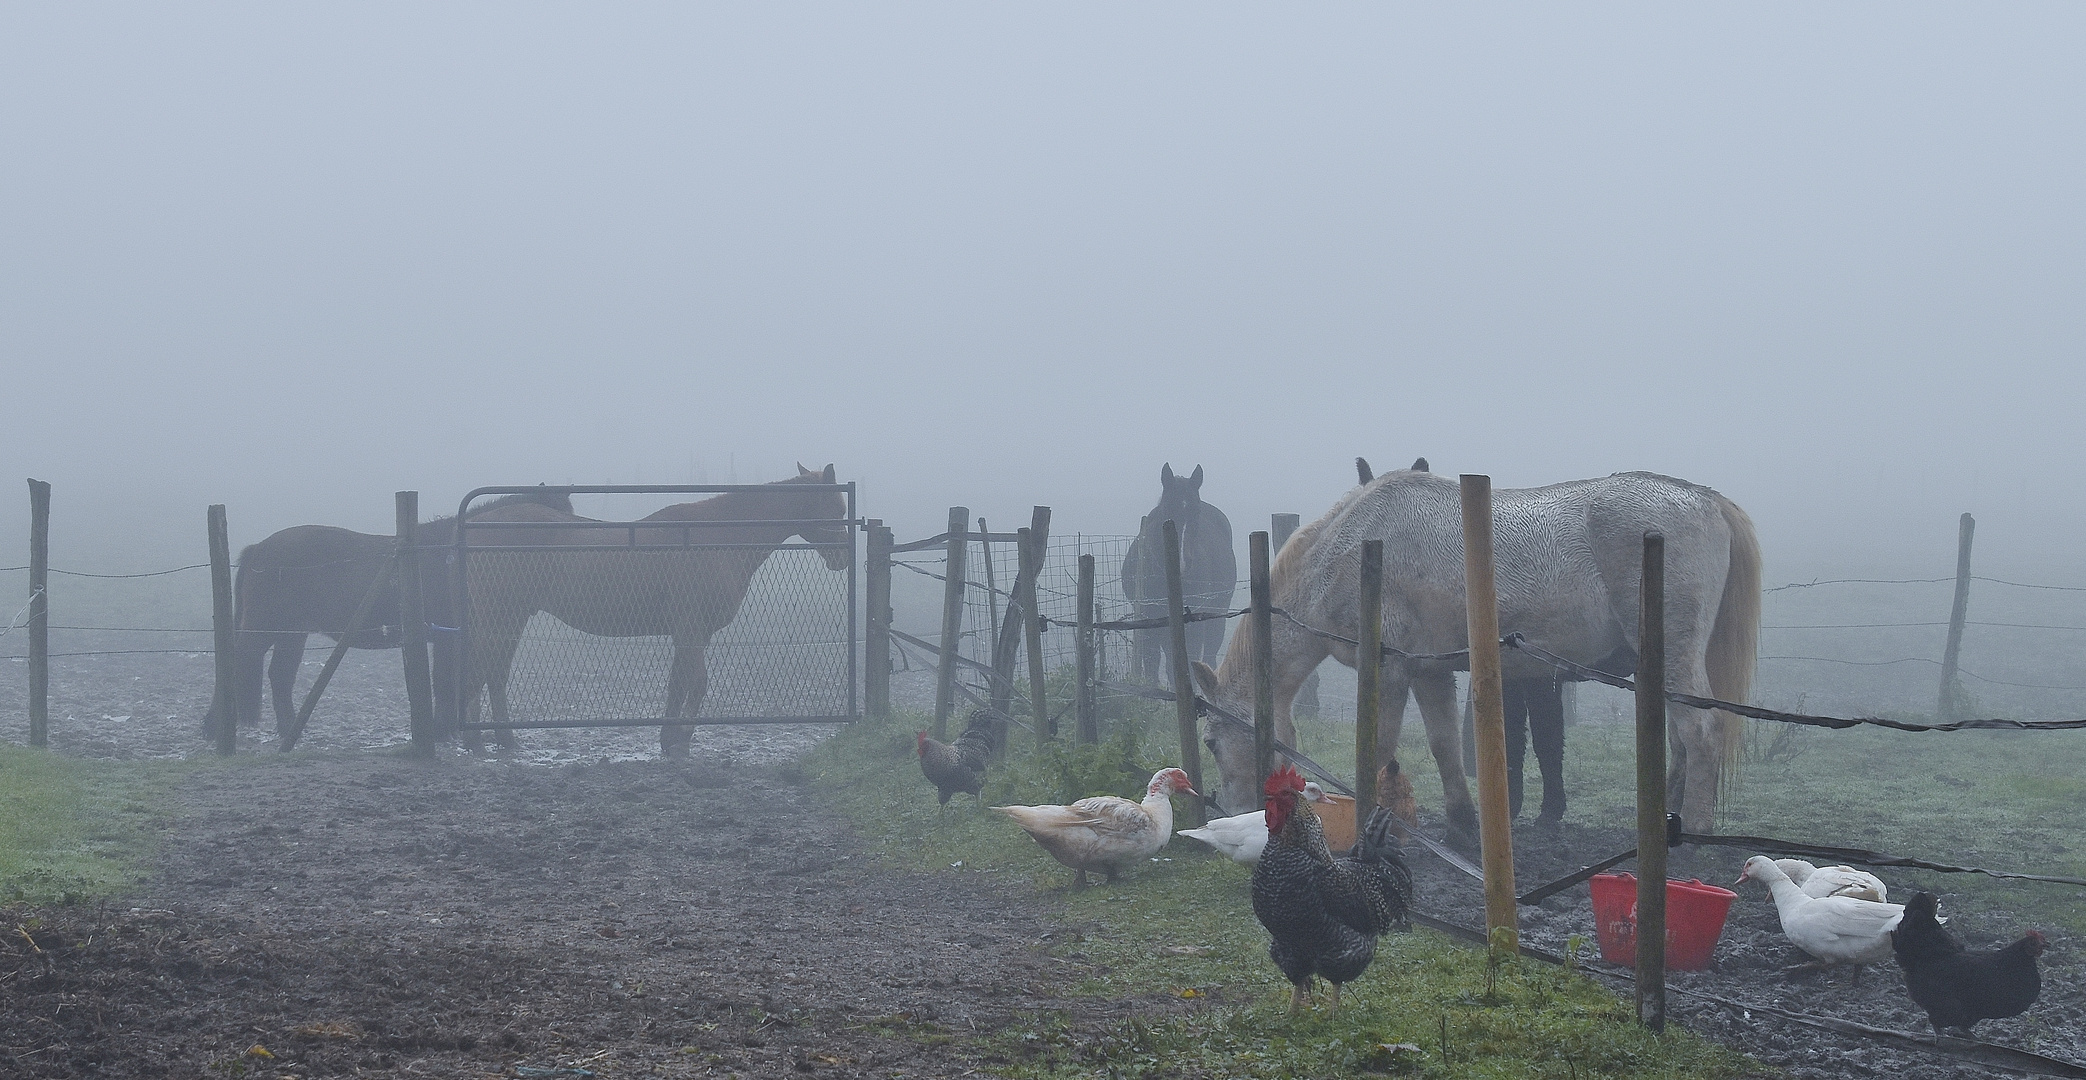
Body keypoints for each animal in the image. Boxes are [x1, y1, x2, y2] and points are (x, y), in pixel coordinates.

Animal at [456, 464, 846, 763]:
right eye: (838, 508)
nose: (842, 559)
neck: (715, 536)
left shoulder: (693, 633)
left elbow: (678, 683)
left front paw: (668, 740)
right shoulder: (690, 628)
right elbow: (697, 683)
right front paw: (683, 741)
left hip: (510, 619)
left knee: (493, 673)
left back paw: (500, 741)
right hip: (498, 618)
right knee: (483, 670)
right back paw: (481, 741)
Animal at [1126, 462, 1234, 688]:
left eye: (1197, 511)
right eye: (1167, 508)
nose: (1183, 563)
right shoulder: (1150, 622)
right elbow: (1152, 665)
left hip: (1217, 613)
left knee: (1209, 655)